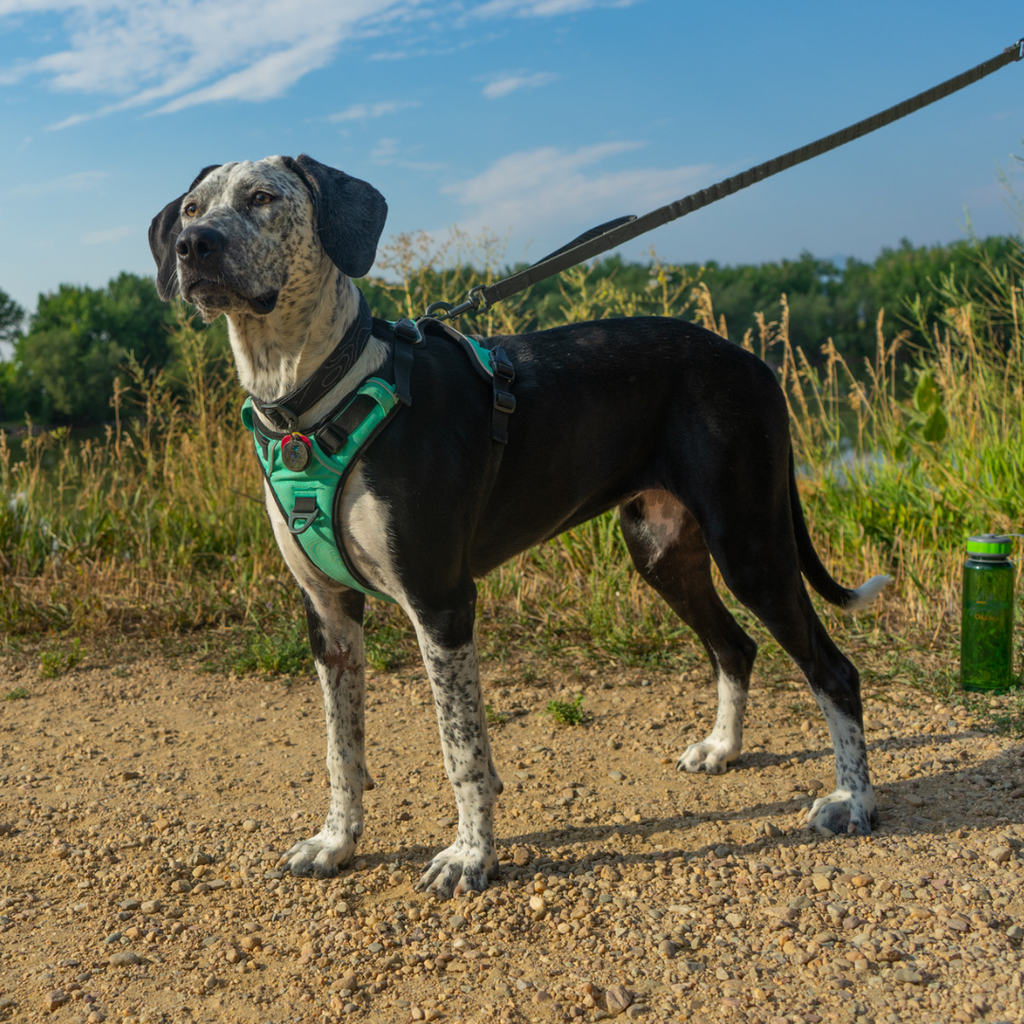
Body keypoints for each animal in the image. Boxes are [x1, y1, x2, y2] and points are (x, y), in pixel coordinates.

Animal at [149, 151, 888, 897]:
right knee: (735, 647)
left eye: (262, 198)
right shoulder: (329, 615)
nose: (192, 247)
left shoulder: (442, 604)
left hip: (750, 546)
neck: (311, 395)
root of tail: (753, 362)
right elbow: (341, 749)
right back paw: (724, 748)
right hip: (662, 552)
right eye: (192, 209)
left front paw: (471, 856)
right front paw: (336, 842)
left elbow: (462, 751)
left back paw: (853, 801)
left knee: (835, 672)